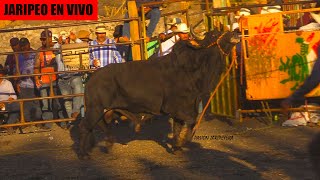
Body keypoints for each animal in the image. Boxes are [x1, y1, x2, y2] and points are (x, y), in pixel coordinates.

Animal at [77, 29, 238, 159]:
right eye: (215, 35)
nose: (235, 33)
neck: (191, 68)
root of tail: (92, 78)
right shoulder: (177, 107)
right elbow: (191, 122)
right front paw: (183, 142)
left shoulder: (184, 108)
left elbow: (178, 127)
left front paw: (176, 148)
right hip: (95, 109)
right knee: (85, 127)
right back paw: (84, 154)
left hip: (105, 110)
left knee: (100, 125)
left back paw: (108, 145)